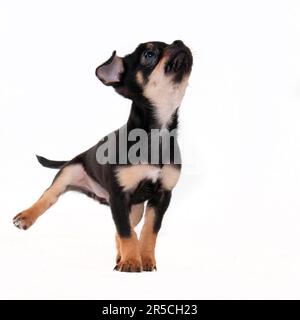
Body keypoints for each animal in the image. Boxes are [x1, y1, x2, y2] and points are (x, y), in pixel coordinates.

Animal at [12, 40, 193, 272]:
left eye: (173, 42)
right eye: (149, 54)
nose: (179, 43)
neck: (155, 135)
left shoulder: (162, 195)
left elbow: (148, 231)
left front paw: (144, 258)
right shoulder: (119, 196)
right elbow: (126, 232)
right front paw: (132, 262)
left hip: (134, 209)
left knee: (123, 230)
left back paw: (121, 256)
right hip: (69, 172)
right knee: (49, 197)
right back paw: (26, 216)